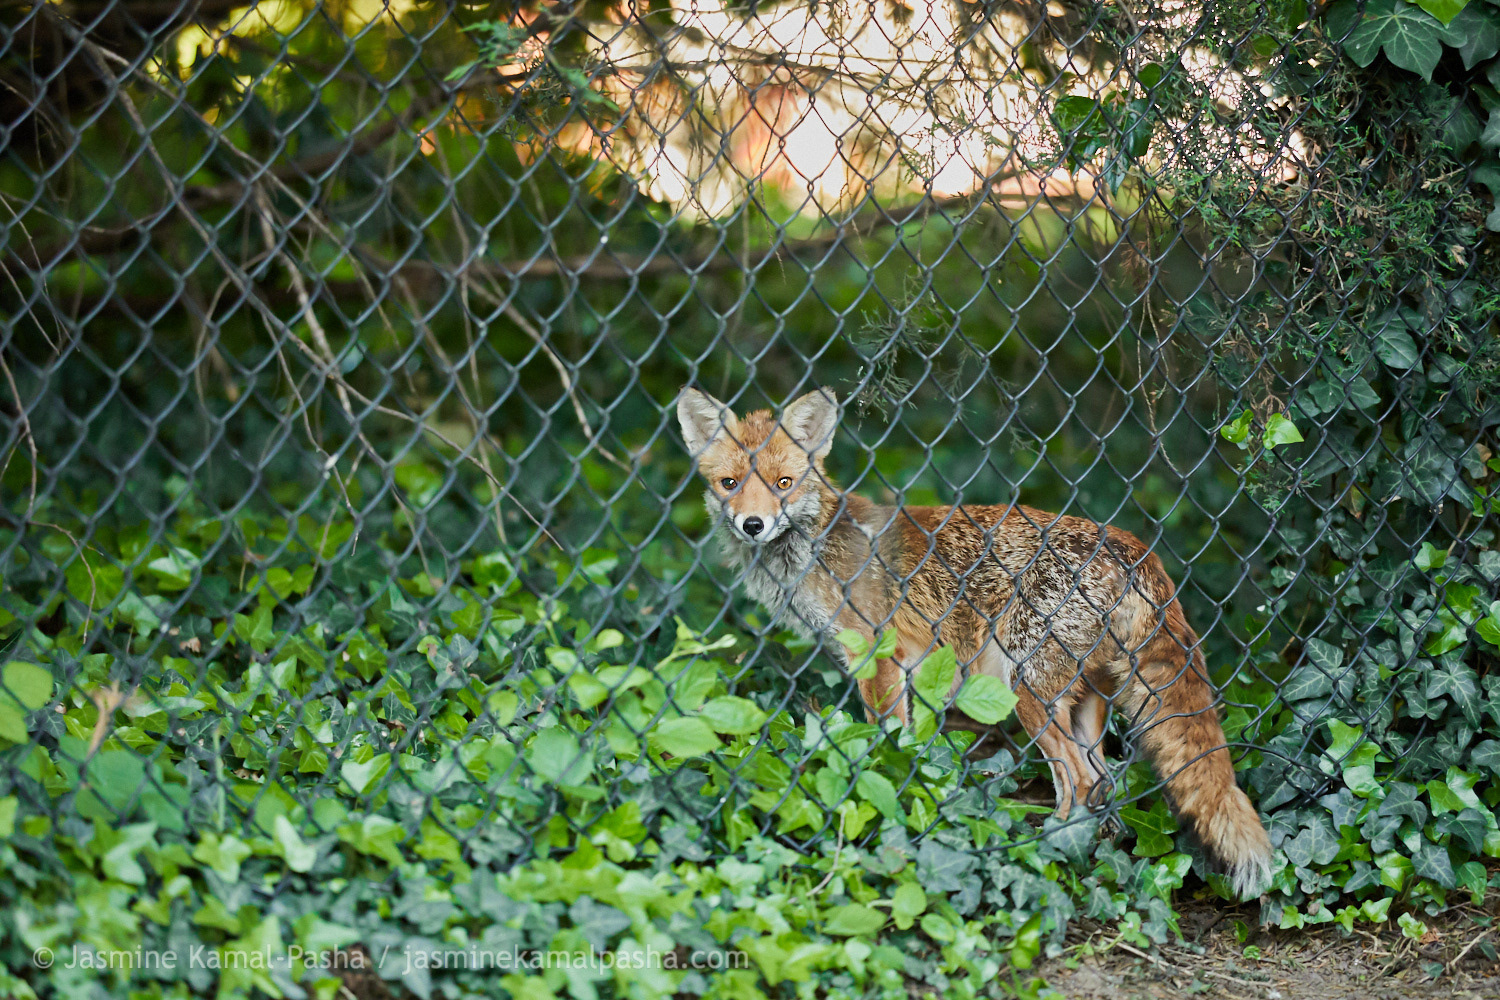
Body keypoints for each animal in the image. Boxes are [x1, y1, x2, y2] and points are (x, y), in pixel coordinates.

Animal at [677, 385, 1273, 898]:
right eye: (730, 484)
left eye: (783, 483)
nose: (753, 525)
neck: (814, 551)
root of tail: (1134, 548)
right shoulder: (914, 668)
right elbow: (912, 740)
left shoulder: (878, 657)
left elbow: (884, 742)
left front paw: (885, 793)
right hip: (1086, 702)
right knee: (1105, 783)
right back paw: (1091, 853)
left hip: (1027, 689)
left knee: (1078, 781)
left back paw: (1045, 850)